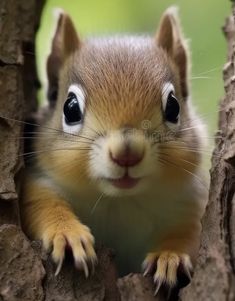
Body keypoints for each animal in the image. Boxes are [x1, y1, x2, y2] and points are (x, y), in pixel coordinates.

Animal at [19, 5, 207, 294]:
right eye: (70, 108)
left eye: (174, 107)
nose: (126, 153)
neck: (118, 201)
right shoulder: (39, 180)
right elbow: (42, 204)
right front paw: (68, 235)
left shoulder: (190, 204)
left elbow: (188, 233)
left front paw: (170, 257)